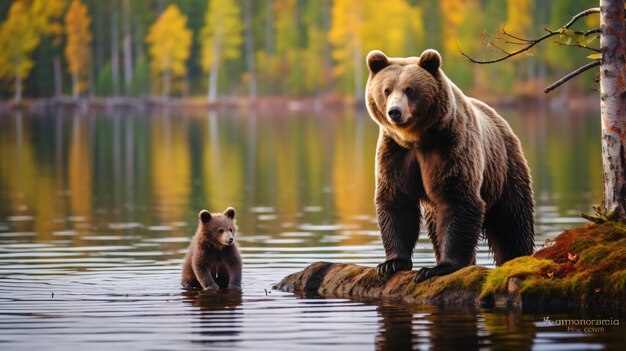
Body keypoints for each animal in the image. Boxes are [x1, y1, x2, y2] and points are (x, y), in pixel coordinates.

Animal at [366, 48, 532, 284]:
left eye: (409, 89)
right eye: (386, 90)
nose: (395, 111)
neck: (416, 139)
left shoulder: (450, 146)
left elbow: (457, 199)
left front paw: (440, 267)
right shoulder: (395, 152)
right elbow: (397, 201)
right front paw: (391, 264)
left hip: (504, 168)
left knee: (512, 221)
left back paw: (518, 258)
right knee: (436, 227)